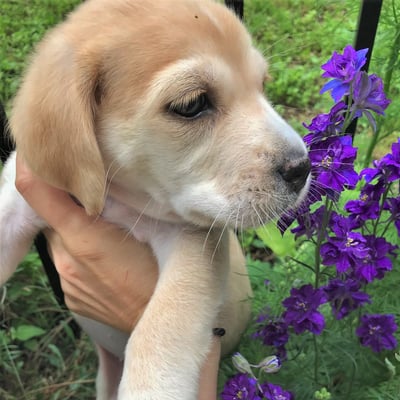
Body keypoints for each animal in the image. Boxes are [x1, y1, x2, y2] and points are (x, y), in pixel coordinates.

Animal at [0, 0, 310, 400]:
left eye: (261, 85)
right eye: (192, 104)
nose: (302, 167)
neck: (115, 199)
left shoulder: (195, 245)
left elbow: (159, 331)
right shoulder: (14, 204)